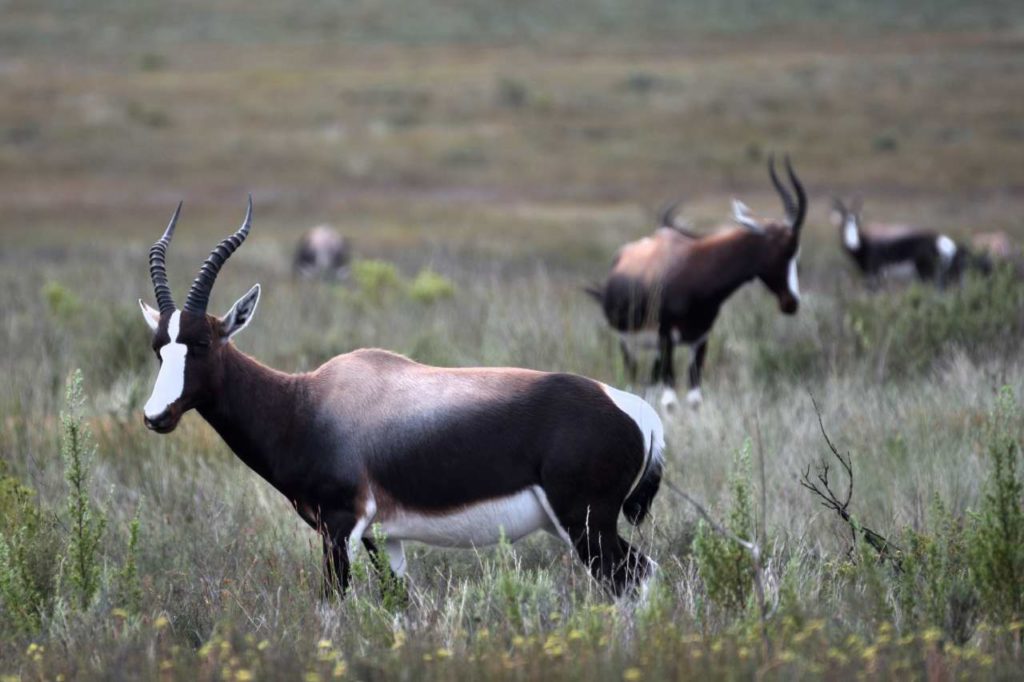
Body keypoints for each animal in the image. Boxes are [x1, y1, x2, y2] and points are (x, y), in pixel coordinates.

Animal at [140, 196, 667, 593]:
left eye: (202, 343)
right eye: (158, 346)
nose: (155, 416)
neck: (306, 403)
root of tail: (638, 413)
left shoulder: (339, 525)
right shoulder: (381, 536)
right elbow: (398, 600)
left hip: (587, 525)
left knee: (636, 578)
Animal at [589, 154, 802, 409]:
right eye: (786, 249)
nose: (791, 302)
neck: (692, 272)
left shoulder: (700, 340)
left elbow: (694, 400)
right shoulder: (667, 339)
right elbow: (670, 402)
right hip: (629, 344)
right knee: (632, 384)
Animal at [827, 196, 970, 284]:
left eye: (857, 223)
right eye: (842, 225)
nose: (852, 244)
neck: (865, 242)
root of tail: (942, 240)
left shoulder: (875, 275)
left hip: (926, 273)